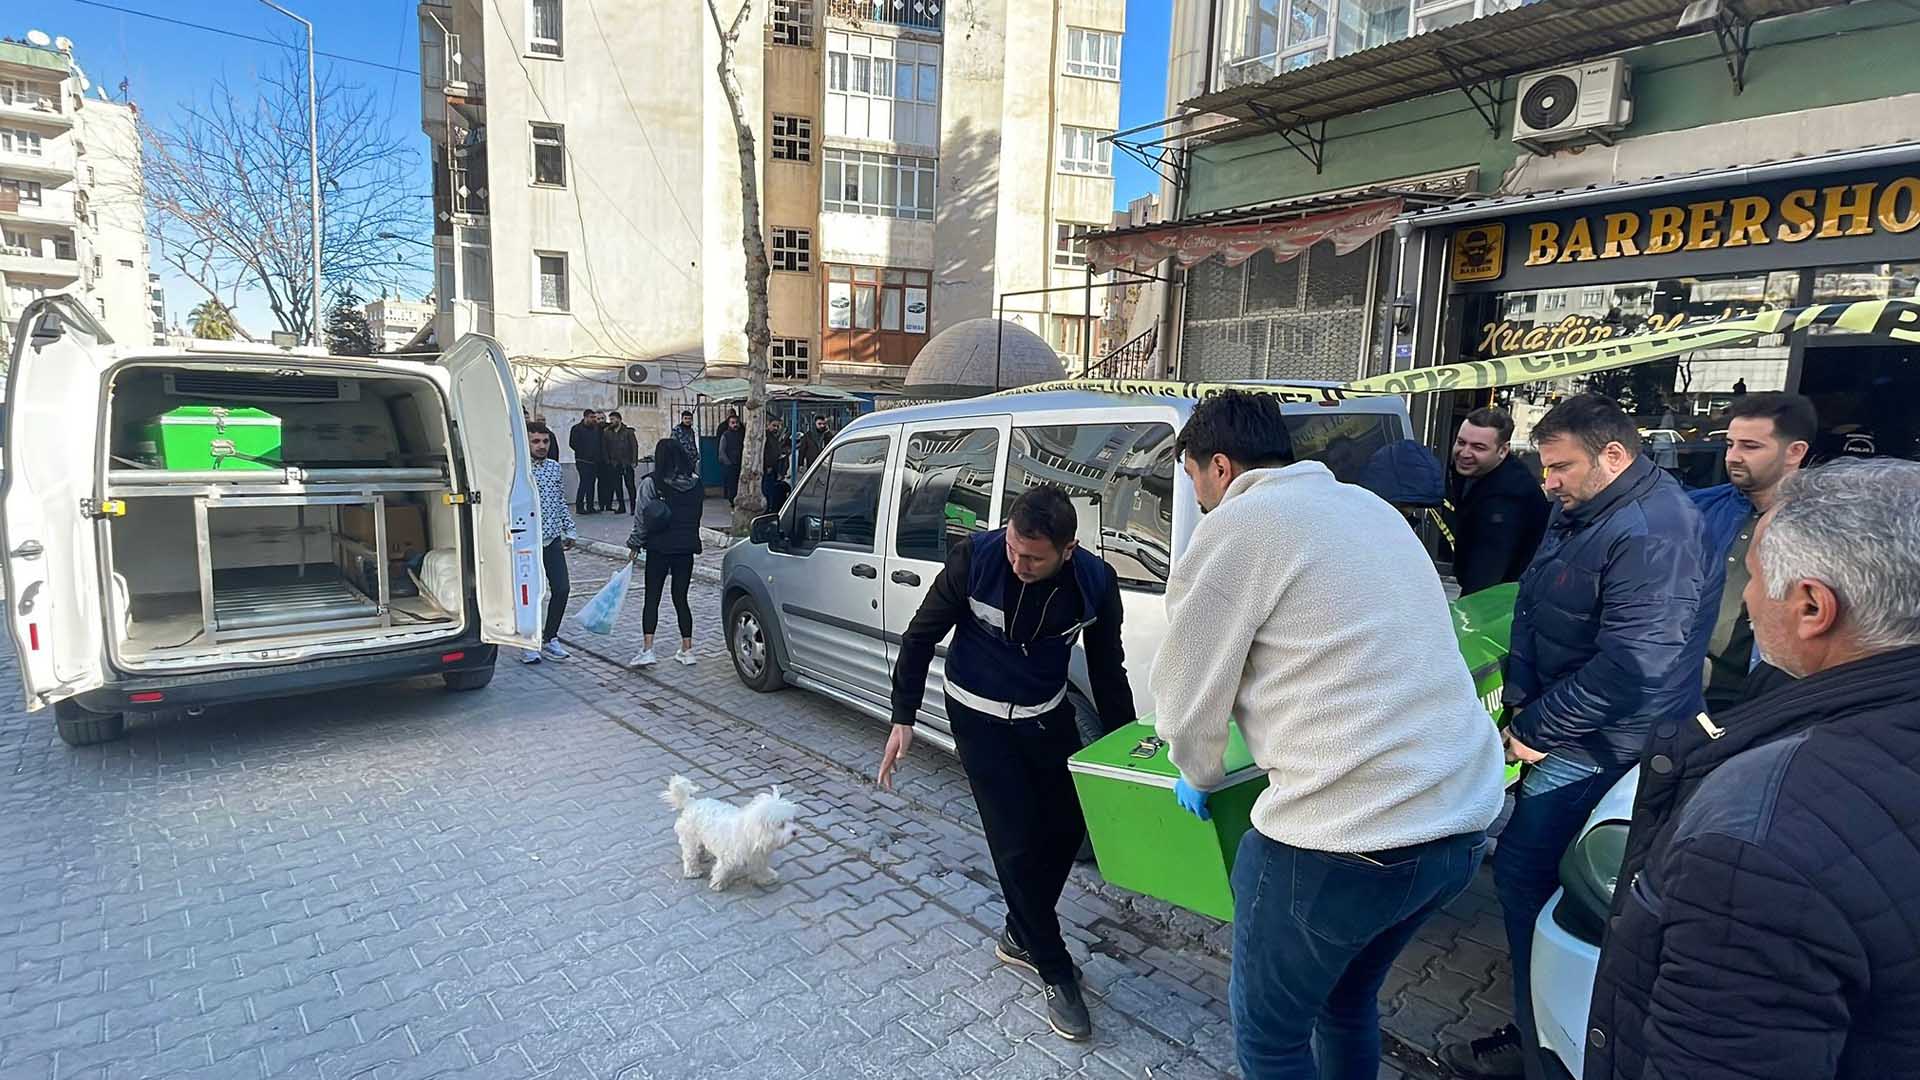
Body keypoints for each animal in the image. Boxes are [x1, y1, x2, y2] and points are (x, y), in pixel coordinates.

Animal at [660, 772, 802, 891]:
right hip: (690, 839)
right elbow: (723, 870)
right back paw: (692, 871)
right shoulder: (729, 856)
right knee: (690, 856)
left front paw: (766, 877)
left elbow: (760, 868)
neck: (752, 834)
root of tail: (691, 803)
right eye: (781, 825)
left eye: (791, 820)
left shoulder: (758, 856)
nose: (795, 832)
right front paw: (718, 883)